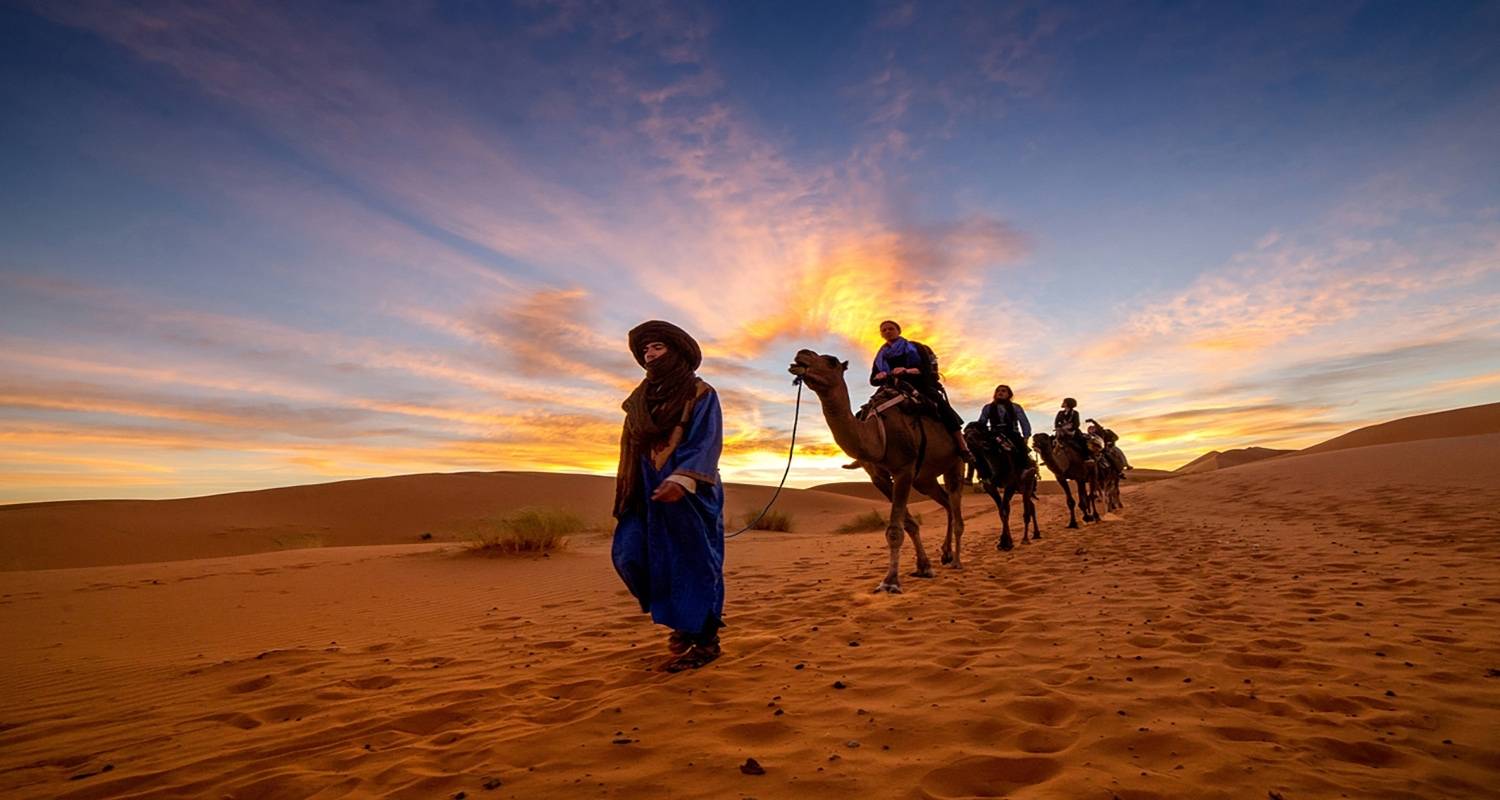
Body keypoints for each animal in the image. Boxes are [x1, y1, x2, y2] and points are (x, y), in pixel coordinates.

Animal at [792, 349, 966, 591]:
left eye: (832, 361)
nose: (802, 354)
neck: (877, 433)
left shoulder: (904, 470)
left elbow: (895, 530)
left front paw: (890, 581)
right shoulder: (879, 477)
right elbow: (909, 524)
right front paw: (924, 567)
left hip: (954, 464)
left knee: (957, 509)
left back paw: (957, 561)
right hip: (925, 479)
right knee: (946, 502)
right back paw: (946, 554)